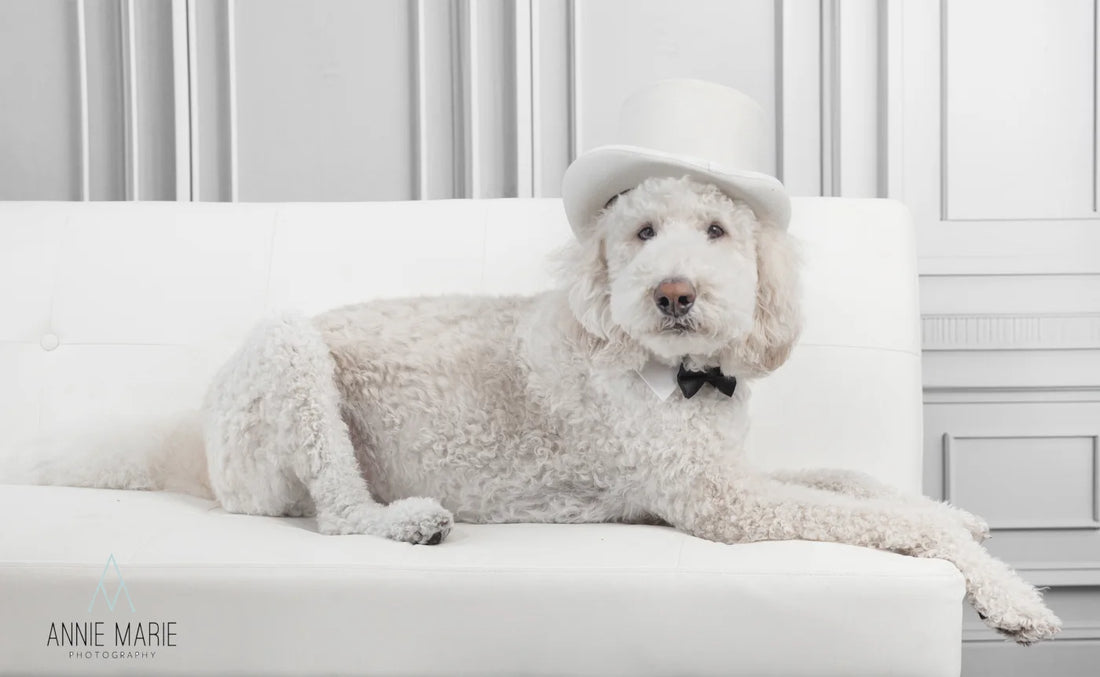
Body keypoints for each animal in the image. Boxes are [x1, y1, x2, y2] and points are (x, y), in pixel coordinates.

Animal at [193, 176, 1060, 647]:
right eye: (642, 231)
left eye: (716, 229)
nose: (674, 292)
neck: (681, 374)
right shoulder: (725, 503)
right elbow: (895, 522)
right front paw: (1010, 594)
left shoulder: (731, 468)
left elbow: (855, 478)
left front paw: (955, 508)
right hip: (289, 356)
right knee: (339, 511)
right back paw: (407, 521)